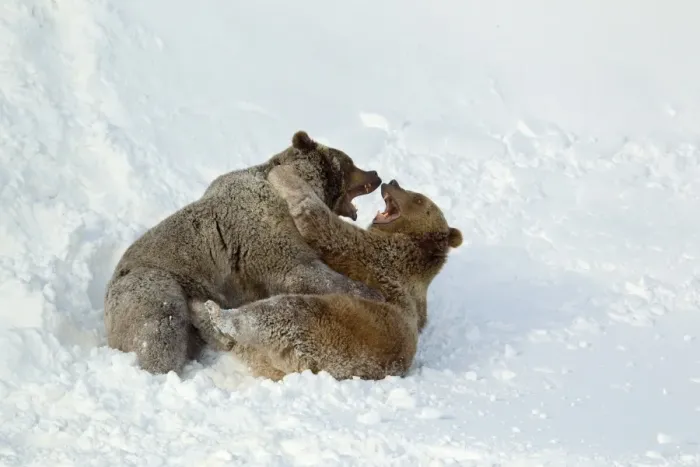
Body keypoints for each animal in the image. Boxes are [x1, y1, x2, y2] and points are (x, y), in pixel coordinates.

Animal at [104, 131, 383, 375]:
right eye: (349, 162)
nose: (376, 174)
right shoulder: (265, 235)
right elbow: (304, 272)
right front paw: (371, 293)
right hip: (151, 283)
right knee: (161, 327)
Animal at [196, 167, 462, 381]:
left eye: (417, 199)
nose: (393, 182)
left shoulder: (377, 255)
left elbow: (320, 223)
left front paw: (282, 173)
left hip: (331, 330)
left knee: (278, 313)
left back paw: (217, 313)